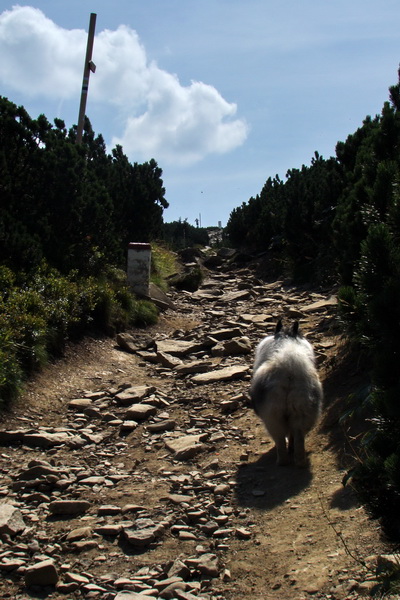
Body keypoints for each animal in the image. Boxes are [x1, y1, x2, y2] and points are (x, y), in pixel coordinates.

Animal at [252, 322, 324, 466]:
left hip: (273, 416)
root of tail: (289, 378)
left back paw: (282, 461)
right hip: (302, 412)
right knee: (298, 436)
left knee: (280, 439)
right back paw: (299, 460)